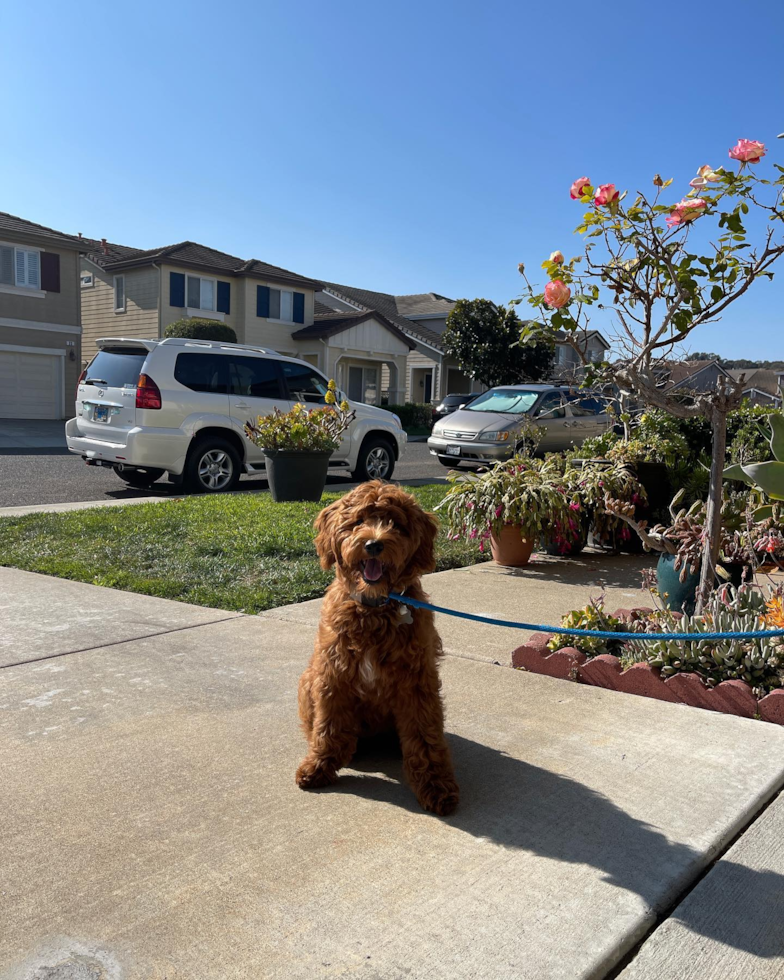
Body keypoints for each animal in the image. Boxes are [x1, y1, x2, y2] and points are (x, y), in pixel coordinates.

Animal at [298, 478, 460, 816]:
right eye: (359, 521)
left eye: (396, 524)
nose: (373, 544)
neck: (373, 607)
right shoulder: (333, 675)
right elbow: (328, 727)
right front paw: (319, 766)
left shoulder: (417, 681)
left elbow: (425, 737)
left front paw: (436, 786)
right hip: (308, 680)